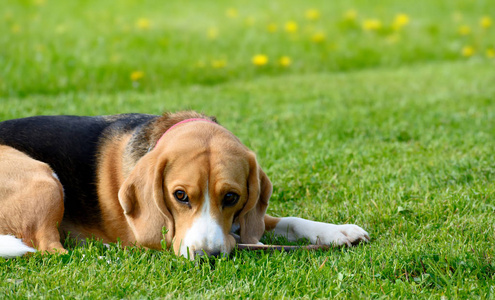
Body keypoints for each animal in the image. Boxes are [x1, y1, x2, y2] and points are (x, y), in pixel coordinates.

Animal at [0, 111, 368, 258]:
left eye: (232, 197)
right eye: (180, 196)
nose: (208, 256)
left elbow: (285, 221)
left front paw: (338, 232)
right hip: (43, 177)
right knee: (49, 248)